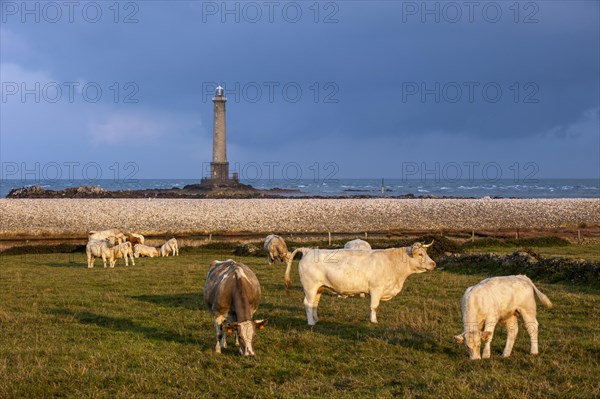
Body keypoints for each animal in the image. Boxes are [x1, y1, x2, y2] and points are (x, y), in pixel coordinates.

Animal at [286, 241, 436, 324]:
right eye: (420, 254)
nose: (433, 264)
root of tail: (308, 250)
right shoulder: (376, 289)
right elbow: (374, 306)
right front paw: (374, 321)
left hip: (319, 288)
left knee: (314, 304)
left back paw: (316, 319)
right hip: (310, 287)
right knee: (308, 303)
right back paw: (311, 323)